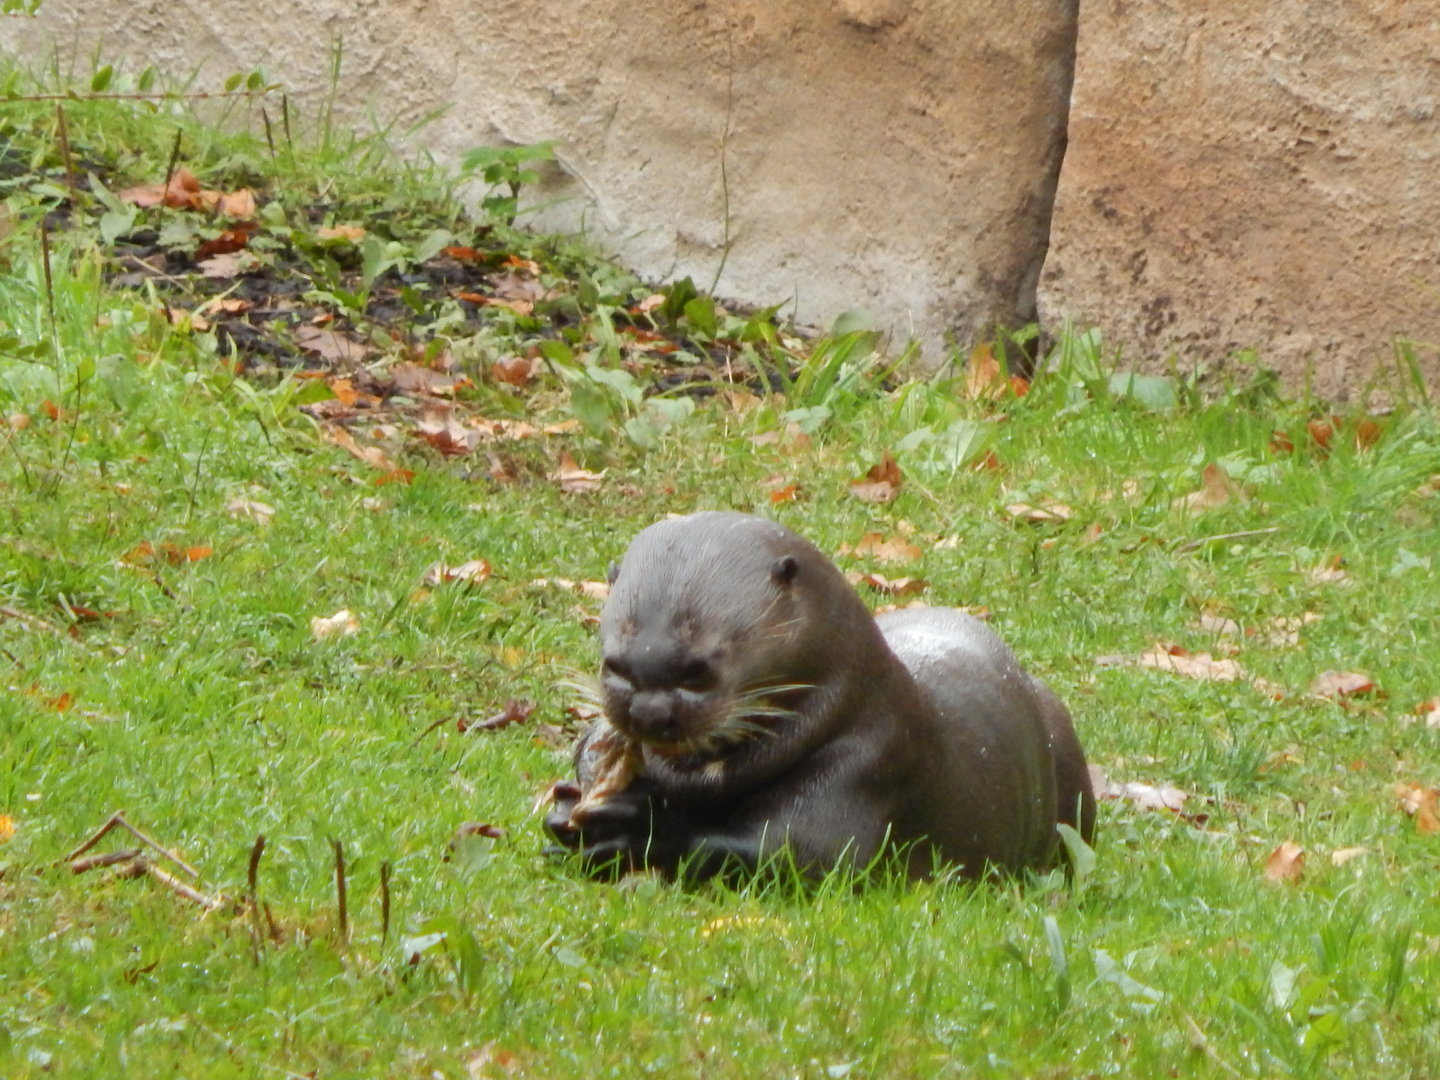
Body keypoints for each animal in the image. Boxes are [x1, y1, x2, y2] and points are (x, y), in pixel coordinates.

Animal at [544, 511, 1094, 881]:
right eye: (615, 665)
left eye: (699, 668)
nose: (648, 712)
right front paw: (569, 803)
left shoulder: (868, 765)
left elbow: (794, 854)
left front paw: (638, 829)